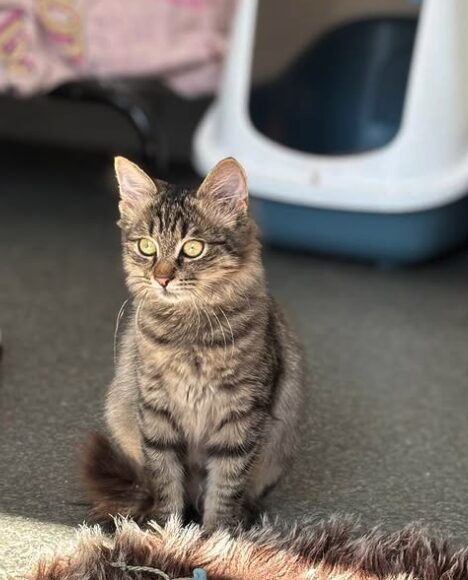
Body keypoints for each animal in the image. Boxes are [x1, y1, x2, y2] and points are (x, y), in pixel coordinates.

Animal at [82, 156, 306, 528]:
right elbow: (165, 479)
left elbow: (225, 487)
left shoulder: (242, 415)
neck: (188, 334)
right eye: (146, 246)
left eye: (192, 248)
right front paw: (167, 532)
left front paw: (217, 536)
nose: (161, 278)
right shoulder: (155, 409)